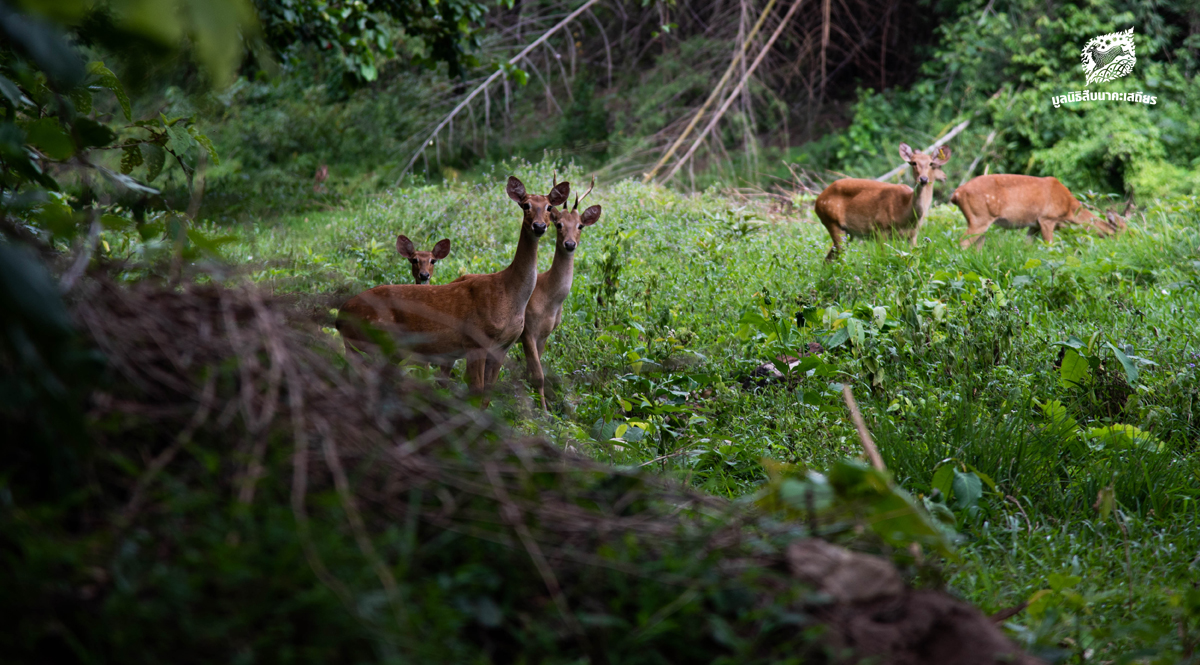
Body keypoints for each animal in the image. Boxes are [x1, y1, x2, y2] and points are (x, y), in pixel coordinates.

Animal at [333, 176, 566, 393]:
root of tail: (340, 315)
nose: (539, 226)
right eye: (525, 205)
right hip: (371, 340)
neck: (510, 293)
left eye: (549, 207)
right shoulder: (475, 341)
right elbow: (476, 390)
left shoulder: (502, 348)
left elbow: (488, 394)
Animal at [520, 175, 604, 408]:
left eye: (580, 225)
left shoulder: (545, 333)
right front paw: (543, 411)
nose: (569, 244)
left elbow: (530, 372)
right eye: (559, 224)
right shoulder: (528, 330)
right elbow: (538, 374)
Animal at [811, 141, 950, 260]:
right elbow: (884, 258)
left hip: (848, 233)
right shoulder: (879, 228)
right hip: (832, 221)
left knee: (828, 259)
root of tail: (818, 200)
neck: (905, 212)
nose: (923, 179)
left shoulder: (912, 235)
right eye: (913, 163)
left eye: (931, 163)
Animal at [950, 172, 1128, 248]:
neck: (1069, 210)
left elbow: (1027, 246)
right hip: (979, 217)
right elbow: (1050, 246)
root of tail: (956, 193)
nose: (1124, 248)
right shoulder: (1047, 218)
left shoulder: (1034, 225)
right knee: (963, 241)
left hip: (981, 221)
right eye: (1121, 233)